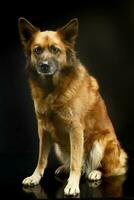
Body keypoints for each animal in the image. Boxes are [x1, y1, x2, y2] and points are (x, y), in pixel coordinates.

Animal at [18, 18, 127, 196]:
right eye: (37, 50)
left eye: (55, 50)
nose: (44, 65)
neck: (52, 89)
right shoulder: (43, 129)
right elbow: (41, 158)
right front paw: (35, 177)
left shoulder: (75, 129)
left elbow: (76, 160)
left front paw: (73, 184)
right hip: (58, 146)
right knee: (78, 165)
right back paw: (65, 168)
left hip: (101, 142)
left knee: (104, 169)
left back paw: (95, 172)